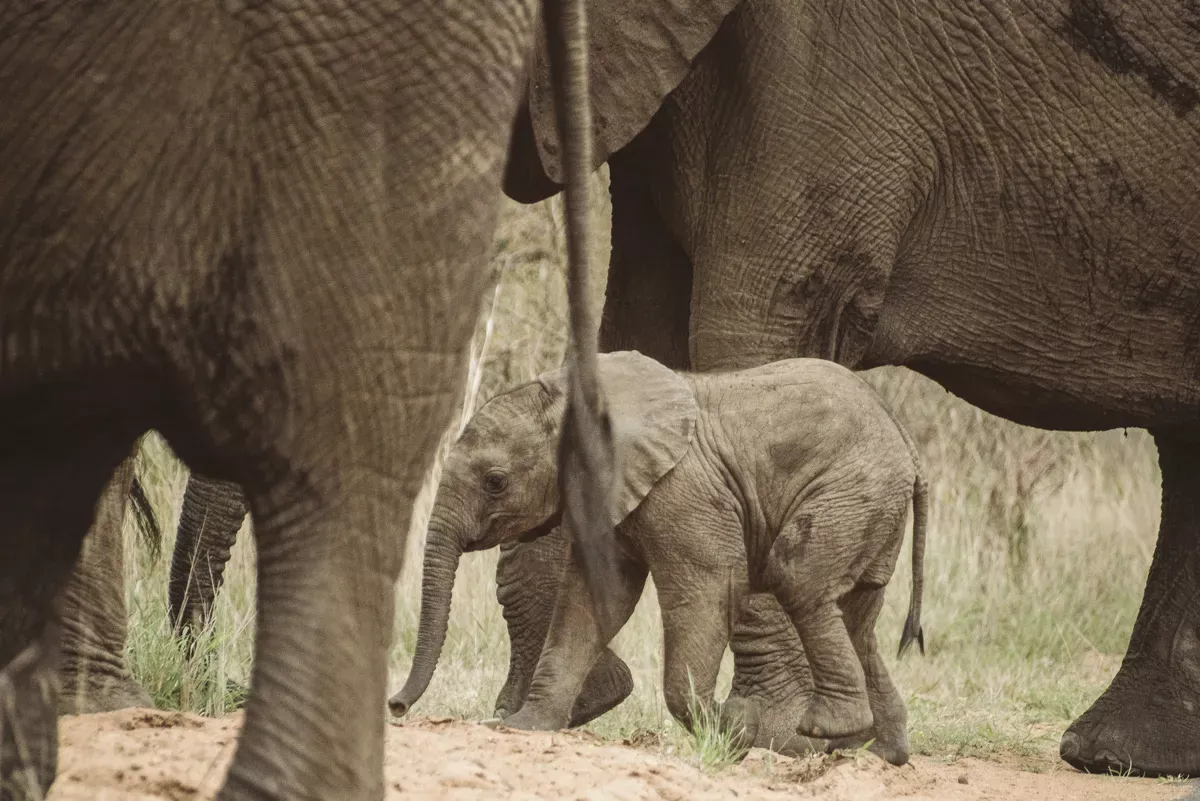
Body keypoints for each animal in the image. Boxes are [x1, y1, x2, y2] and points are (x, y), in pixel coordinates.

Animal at [390, 351, 928, 764]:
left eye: (495, 481)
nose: (395, 707)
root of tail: (908, 443)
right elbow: (592, 602)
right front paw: (523, 728)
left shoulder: (686, 494)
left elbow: (708, 591)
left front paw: (734, 731)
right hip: (867, 509)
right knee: (857, 619)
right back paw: (875, 754)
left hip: (850, 491)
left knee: (798, 580)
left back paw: (826, 730)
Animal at [495, 0, 1200, 779]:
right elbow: (639, 330)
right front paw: (546, 712)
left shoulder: (826, 68)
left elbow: (752, 328)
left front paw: (772, 734)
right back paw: (1117, 754)